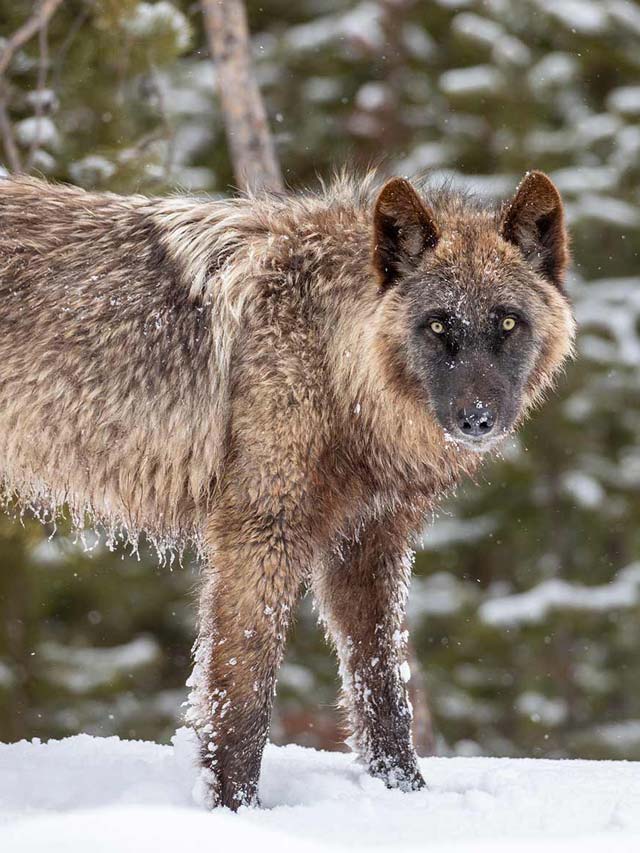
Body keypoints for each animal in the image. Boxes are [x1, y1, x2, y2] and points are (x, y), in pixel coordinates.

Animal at [0, 170, 575, 808]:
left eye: (508, 323)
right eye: (438, 324)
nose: (478, 419)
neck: (331, 358)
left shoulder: (370, 546)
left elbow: (382, 688)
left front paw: (405, 797)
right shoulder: (260, 534)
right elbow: (242, 698)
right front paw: (233, 811)